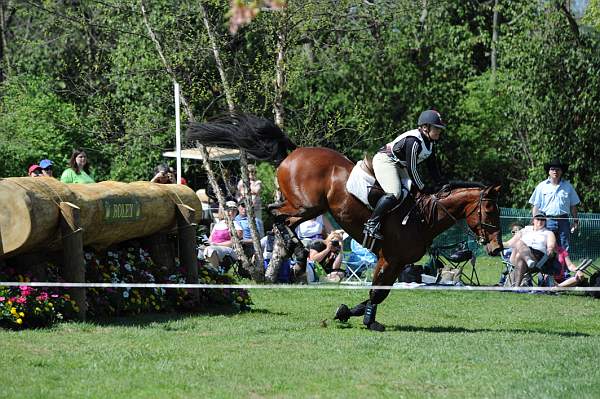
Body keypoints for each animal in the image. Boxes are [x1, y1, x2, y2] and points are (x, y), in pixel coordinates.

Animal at [189, 115, 502, 332]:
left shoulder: (398, 263)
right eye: (489, 211)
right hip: (307, 205)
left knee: (277, 214)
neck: (423, 217)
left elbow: (379, 294)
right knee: (276, 215)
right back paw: (300, 256)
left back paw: (298, 256)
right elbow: (377, 292)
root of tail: (296, 151)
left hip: (310, 207)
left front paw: (346, 313)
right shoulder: (389, 258)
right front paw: (368, 321)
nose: (497, 248)